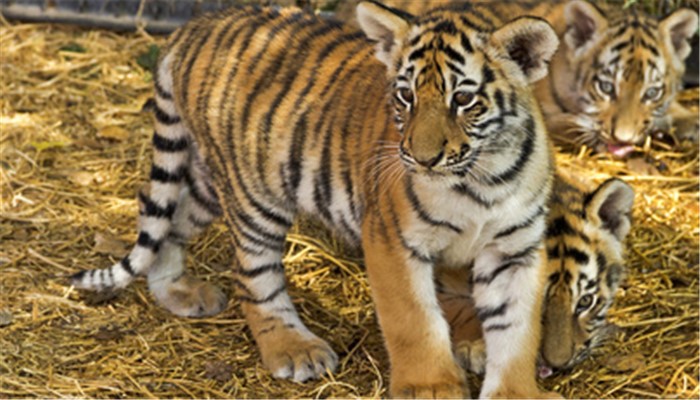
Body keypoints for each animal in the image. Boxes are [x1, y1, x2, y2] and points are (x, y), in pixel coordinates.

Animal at [70, 2, 563, 398]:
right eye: (405, 95)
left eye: (463, 99)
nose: (421, 159)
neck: (482, 177)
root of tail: (200, 22)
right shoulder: (392, 240)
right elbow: (414, 320)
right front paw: (431, 387)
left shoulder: (516, 249)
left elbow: (517, 331)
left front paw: (514, 392)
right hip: (254, 193)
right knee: (252, 275)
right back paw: (293, 348)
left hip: (212, 182)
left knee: (172, 222)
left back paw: (175, 290)